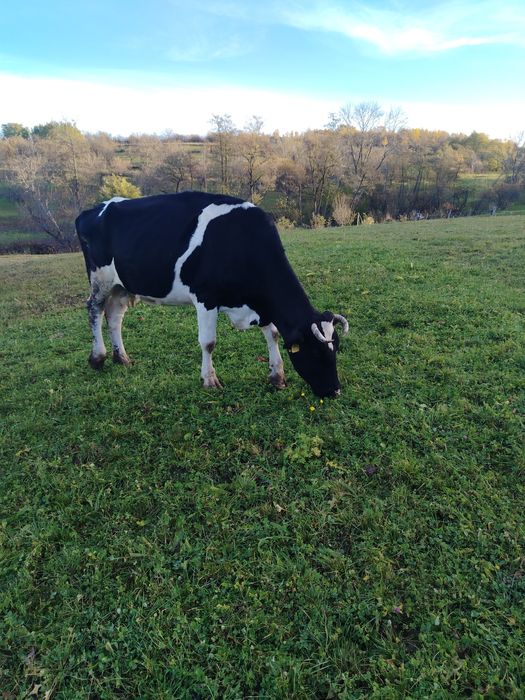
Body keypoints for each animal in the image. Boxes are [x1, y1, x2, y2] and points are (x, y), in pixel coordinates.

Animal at [75, 192, 349, 397]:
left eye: (335, 349)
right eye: (316, 352)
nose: (335, 391)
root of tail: (92, 210)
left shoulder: (262, 304)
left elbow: (272, 334)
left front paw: (277, 376)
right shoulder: (205, 298)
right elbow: (208, 342)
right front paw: (210, 381)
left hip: (122, 285)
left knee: (114, 316)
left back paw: (122, 358)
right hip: (100, 279)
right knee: (94, 310)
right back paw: (98, 358)